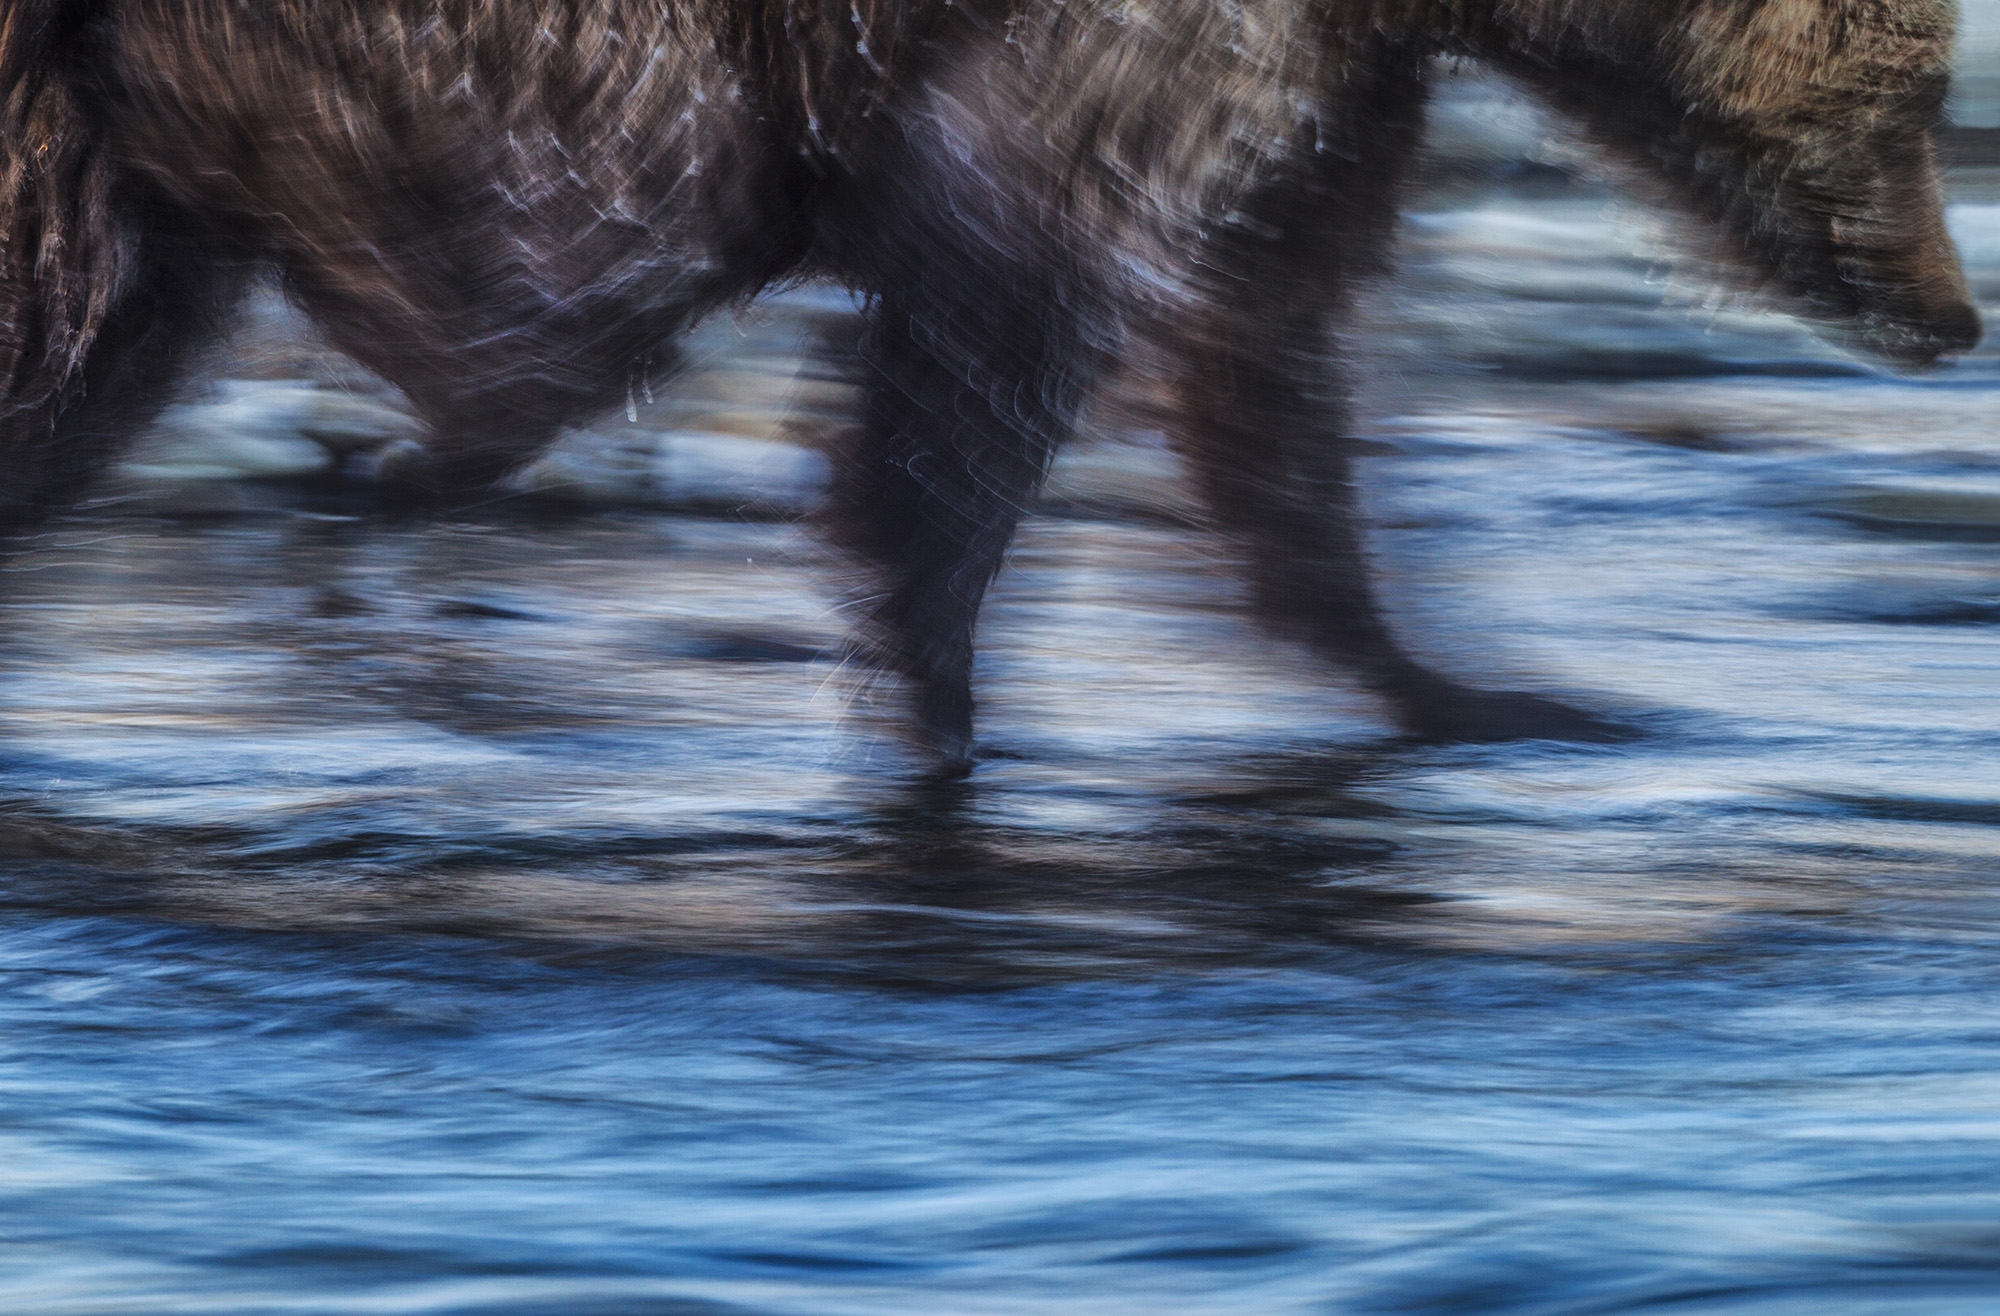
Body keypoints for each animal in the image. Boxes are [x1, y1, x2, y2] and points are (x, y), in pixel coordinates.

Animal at [0, 0, 1980, 767]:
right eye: (1914, 95)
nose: (1959, 316)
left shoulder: (1326, 99)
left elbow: (1266, 383)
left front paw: (1473, 684)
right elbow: (992, 321)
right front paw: (939, 691)